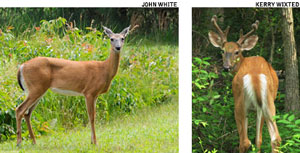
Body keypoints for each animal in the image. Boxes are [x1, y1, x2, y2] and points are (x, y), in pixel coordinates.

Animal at [209, 14, 282, 152]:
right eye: (222, 51)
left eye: (237, 52)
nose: (226, 67)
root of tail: (255, 75)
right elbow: (259, 140)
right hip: (268, 103)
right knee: (275, 138)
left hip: (240, 103)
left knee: (245, 141)